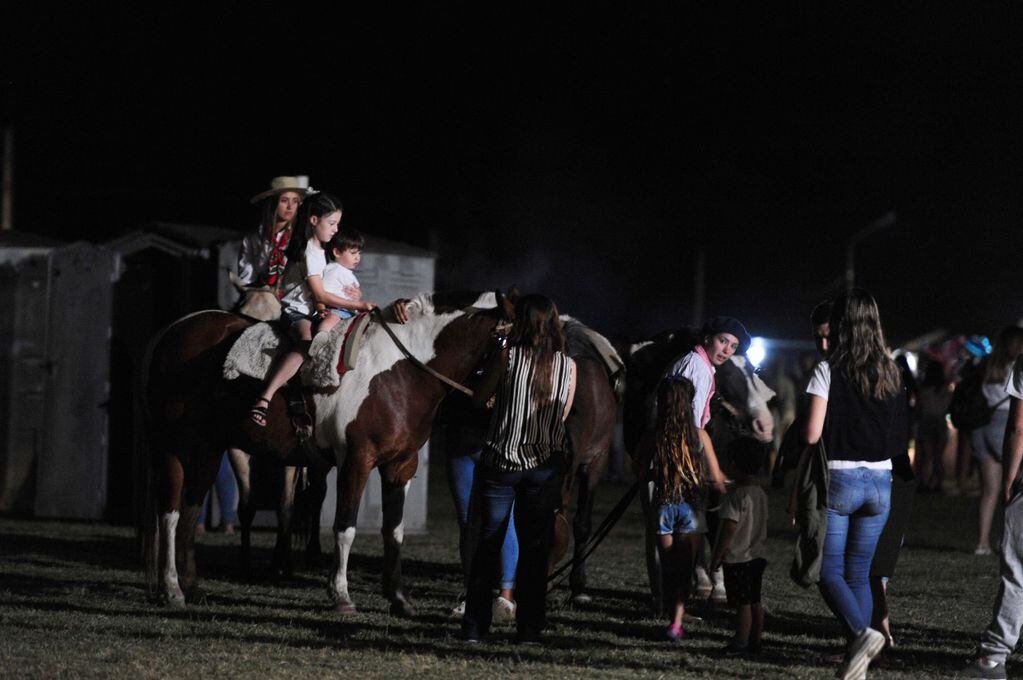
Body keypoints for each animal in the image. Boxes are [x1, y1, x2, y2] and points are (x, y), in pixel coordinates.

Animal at [138, 288, 511, 613]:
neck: (399, 369)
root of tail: (170, 332)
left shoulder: (400, 466)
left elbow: (394, 532)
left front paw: (399, 599)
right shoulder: (356, 461)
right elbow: (345, 527)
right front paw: (341, 595)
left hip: (209, 448)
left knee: (189, 511)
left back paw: (192, 588)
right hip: (174, 446)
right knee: (170, 514)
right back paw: (172, 590)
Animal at [621, 327, 773, 613]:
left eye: (754, 370)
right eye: (723, 372)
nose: (765, 425)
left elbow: (715, 526)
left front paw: (719, 587)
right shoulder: (649, 479)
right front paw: (663, 590)